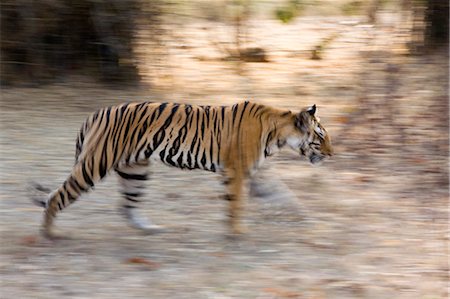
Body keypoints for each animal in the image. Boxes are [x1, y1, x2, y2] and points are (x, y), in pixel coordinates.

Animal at [30, 101, 330, 239]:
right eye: (321, 136)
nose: (331, 154)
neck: (278, 135)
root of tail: (96, 113)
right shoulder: (235, 172)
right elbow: (236, 204)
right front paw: (237, 232)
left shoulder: (256, 173)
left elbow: (284, 195)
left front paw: (310, 222)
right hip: (95, 164)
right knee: (57, 196)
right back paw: (49, 234)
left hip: (135, 171)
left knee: (127, 206)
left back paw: (151, 229)